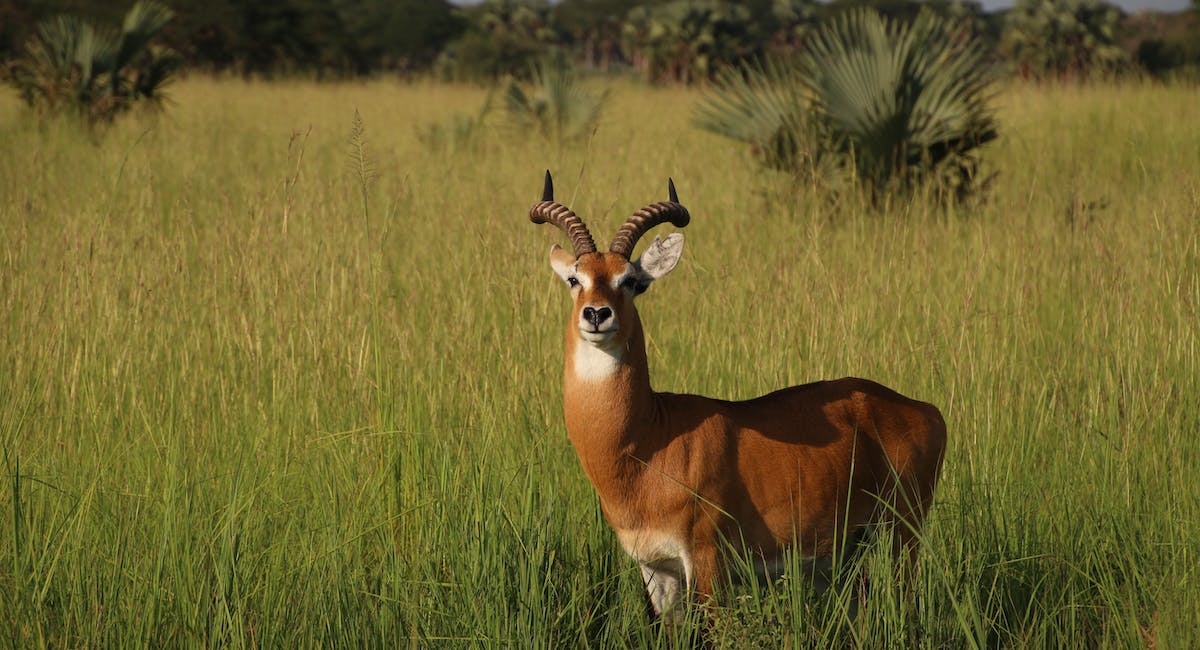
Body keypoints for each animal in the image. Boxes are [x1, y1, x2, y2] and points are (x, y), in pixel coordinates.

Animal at [532, 170, 945, 618]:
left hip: (901, 536)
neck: (647, 444)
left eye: (632, 281)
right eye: (575, 278)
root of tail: (926, 410)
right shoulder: (658, 570)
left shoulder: (708, 560)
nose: (596, 314)